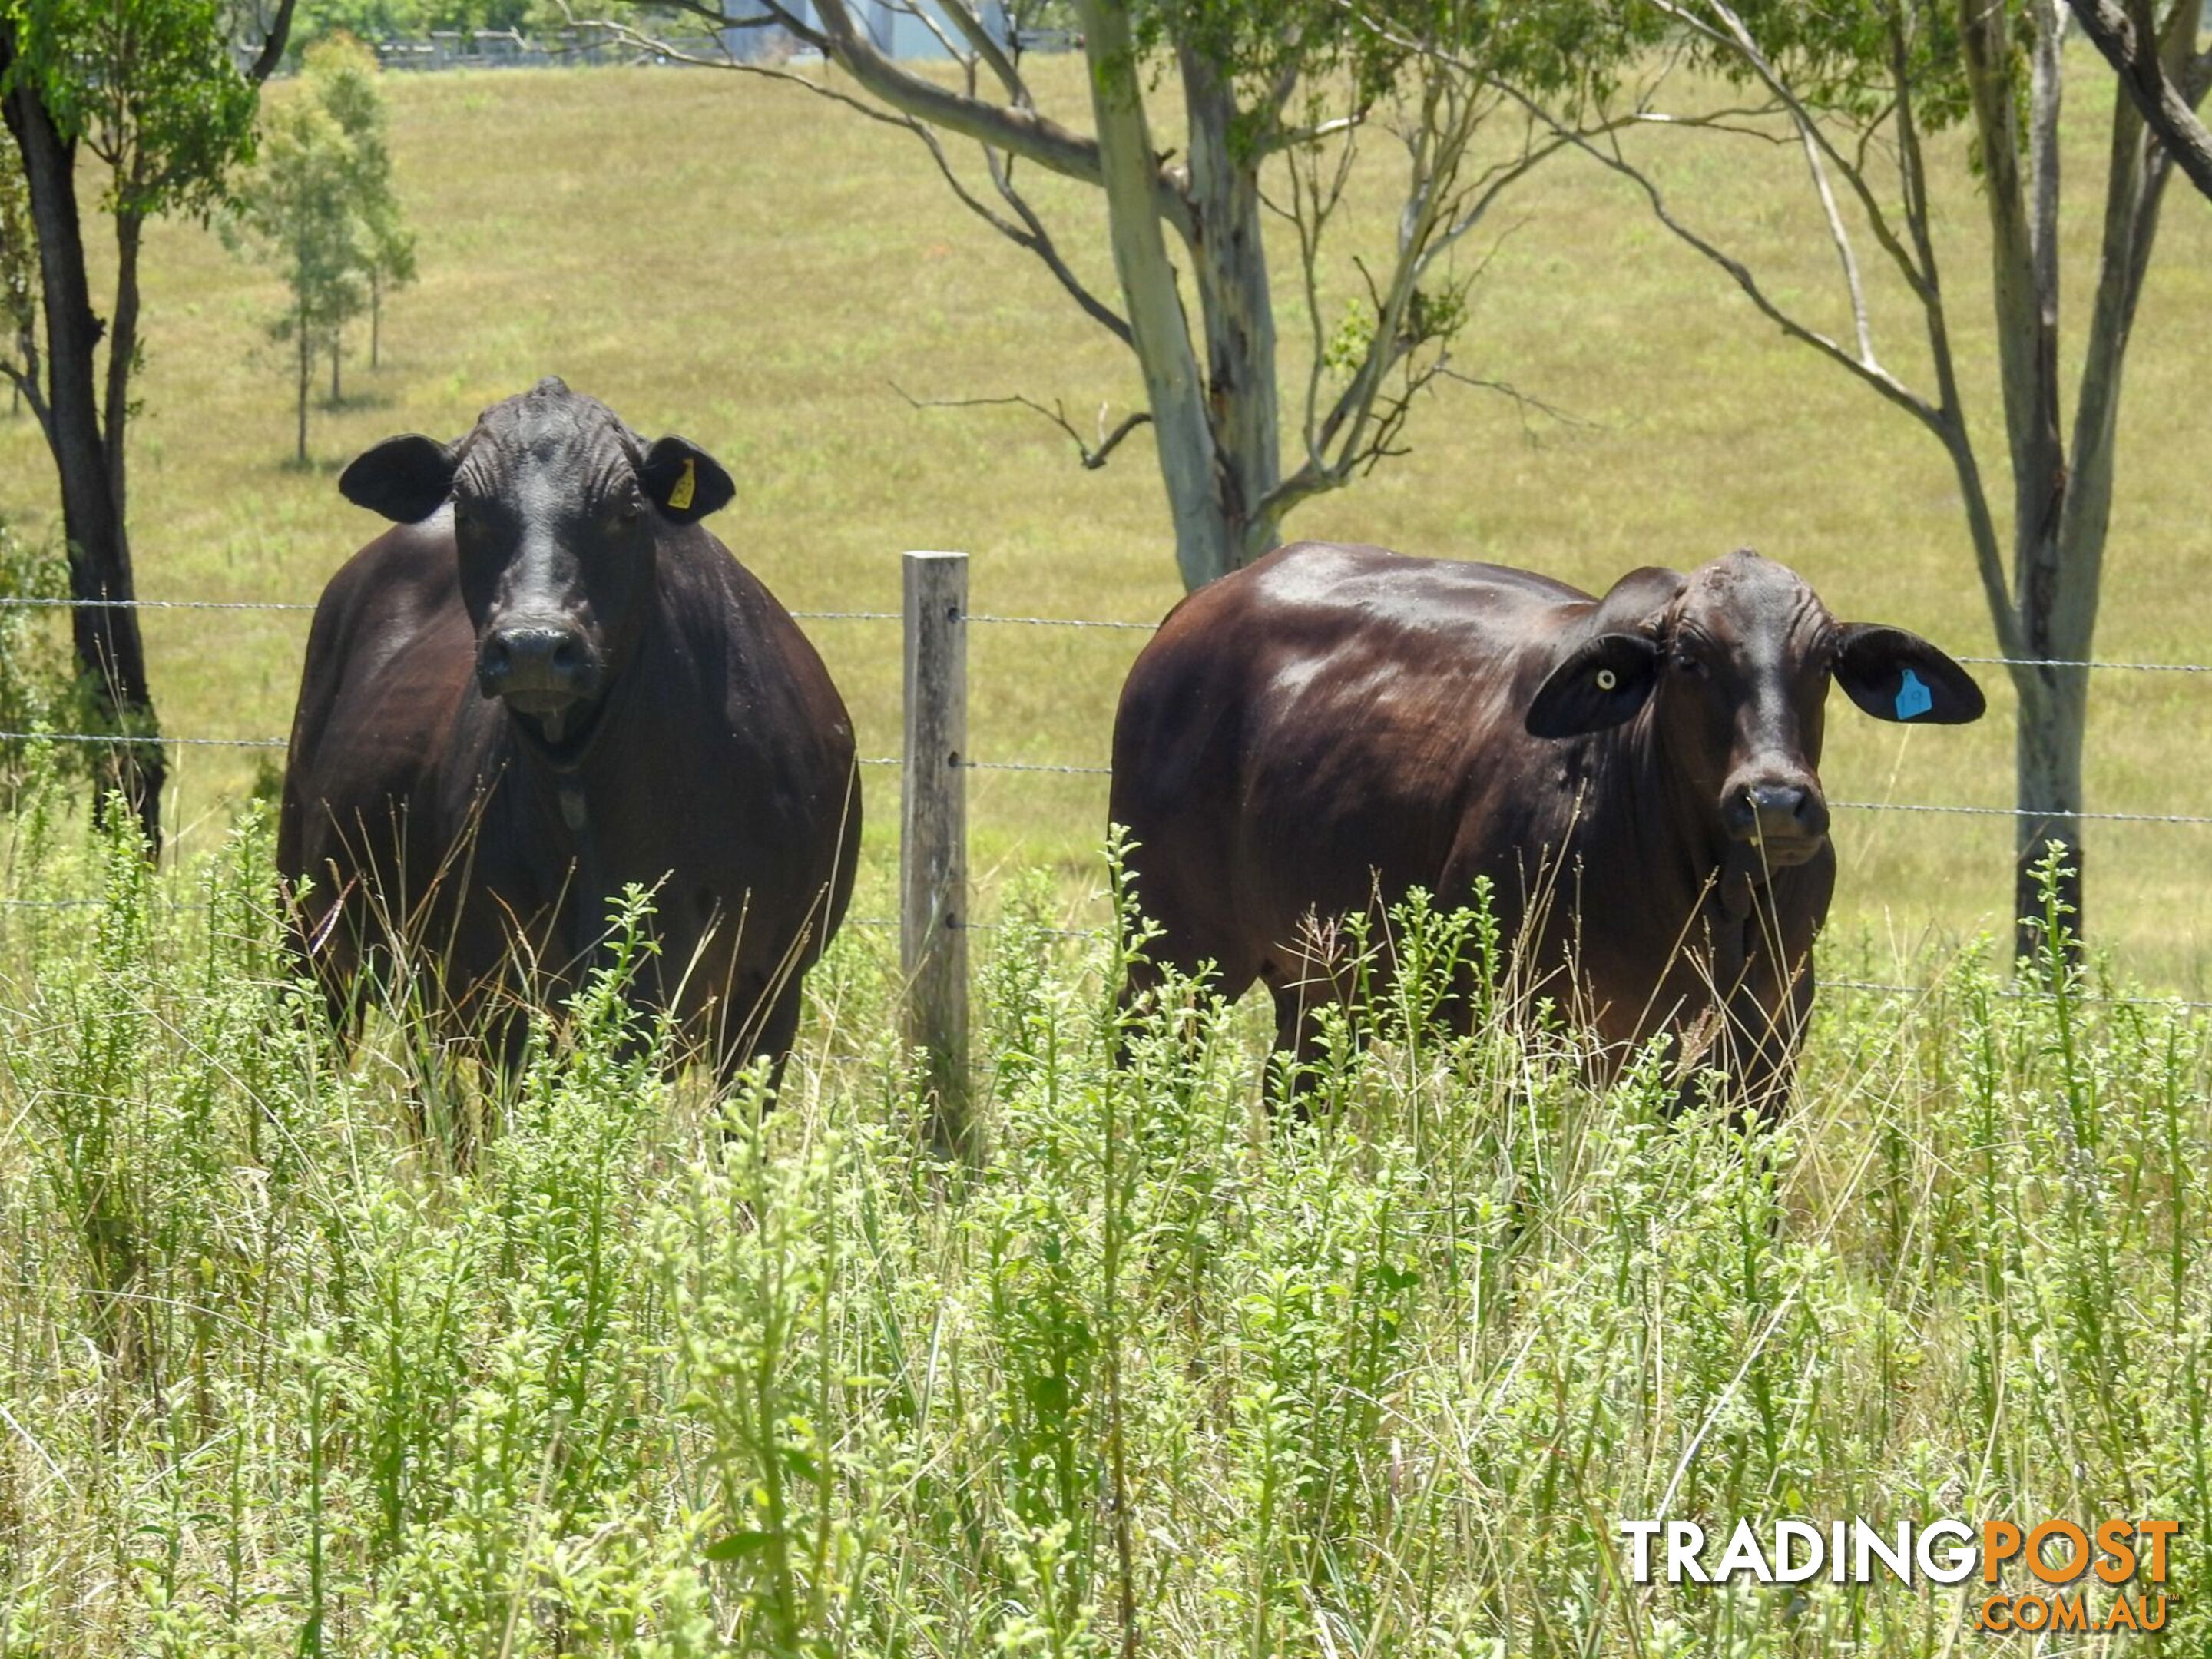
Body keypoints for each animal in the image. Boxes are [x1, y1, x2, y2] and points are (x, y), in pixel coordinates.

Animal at [278, 378, 863, 1084]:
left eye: (628, 506)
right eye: (466, 508)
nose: (533, 645)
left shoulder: (770, 997)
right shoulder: (509, 998)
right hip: (309, 936)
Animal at [1106, 546, 1991, 1119]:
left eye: (1821, 664)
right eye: (1691, 660)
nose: (1774, 801)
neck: (1717, 895)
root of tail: (1193, 613)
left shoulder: (1765, 1052)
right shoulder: (1527, 1038)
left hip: (1318, 985)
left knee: (1296, 1095)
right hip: (1172, 963)